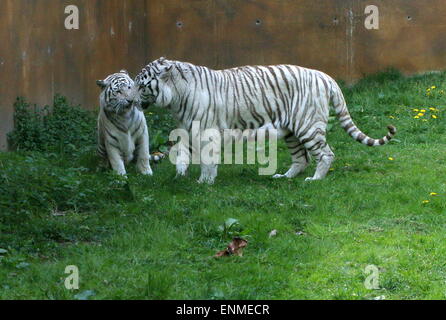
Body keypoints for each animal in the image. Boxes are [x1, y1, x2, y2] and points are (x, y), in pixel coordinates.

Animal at [133, 57, 398, 182]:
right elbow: (181, 153)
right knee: (301, 159)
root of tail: (326, 76)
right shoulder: (187, 130)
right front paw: (180, 176)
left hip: (307, 126)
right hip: (291, 131)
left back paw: (315, 179)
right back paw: (284, 177)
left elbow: (207, 161)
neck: (175, 100)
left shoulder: (207, 132)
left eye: (140, 84)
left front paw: (204, 182)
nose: (130, 99)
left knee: (325, 154)